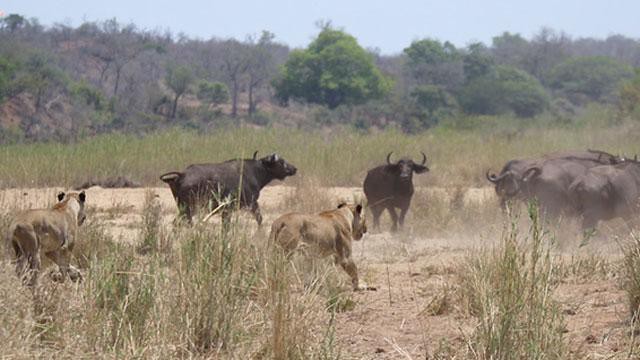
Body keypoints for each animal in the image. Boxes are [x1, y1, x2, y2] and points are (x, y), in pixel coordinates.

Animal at [161, 152, 298, 225]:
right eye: (281, 162)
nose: (294, 168)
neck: (254, 172)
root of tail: (182, 174)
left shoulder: (227, 211)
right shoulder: (252, 203)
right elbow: (259, 219)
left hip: (184, 209)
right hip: (190, 208)